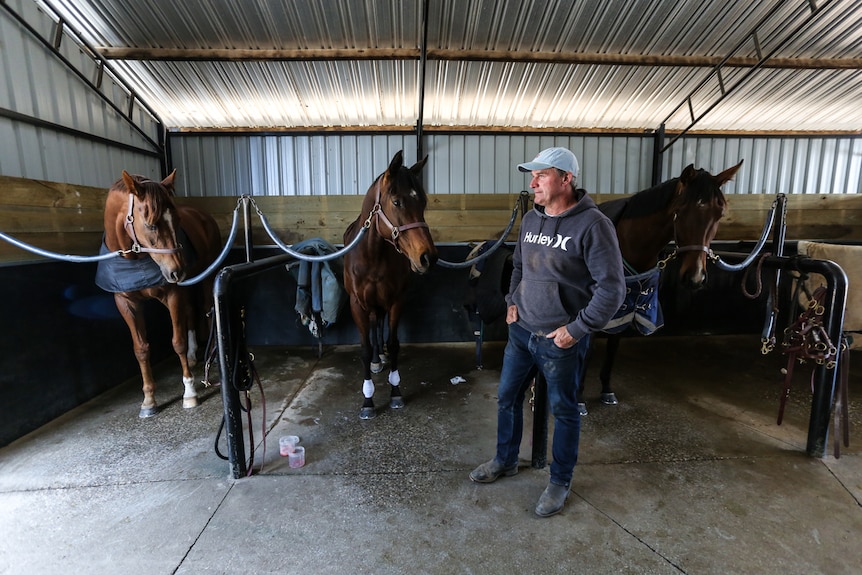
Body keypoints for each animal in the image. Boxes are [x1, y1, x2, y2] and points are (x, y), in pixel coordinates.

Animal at [97, 171, 223, 418]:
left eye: (178, 221)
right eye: (151, 225)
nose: (177, 271)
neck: (134, 258)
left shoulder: (172, 293)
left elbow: (178, 342)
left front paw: (190, 392)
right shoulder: (126, 303)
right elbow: (141, 349)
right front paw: (148, 400)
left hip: (204, 277)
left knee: (205, 308)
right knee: (190, 311)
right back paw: (193, 355)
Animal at [342, 151, 438, 420]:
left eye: (423, 203)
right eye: (396, 202)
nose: (428, 258)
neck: (373, 255)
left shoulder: (396, 300)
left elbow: (394, 344)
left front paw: (395, 392)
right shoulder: (357, 305)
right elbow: (364, 349)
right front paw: (368, 400)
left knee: (380, 323)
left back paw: (381, 356)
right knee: (375, 325)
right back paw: (377, 360)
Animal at [580, 161, 748, 414]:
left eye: (719, 214)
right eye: (681, 211)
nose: (695, 277)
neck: (628, 244)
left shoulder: (629, 302)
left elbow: (614, 344)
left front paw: (607, 389)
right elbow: (586, 349)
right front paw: (578, 399)